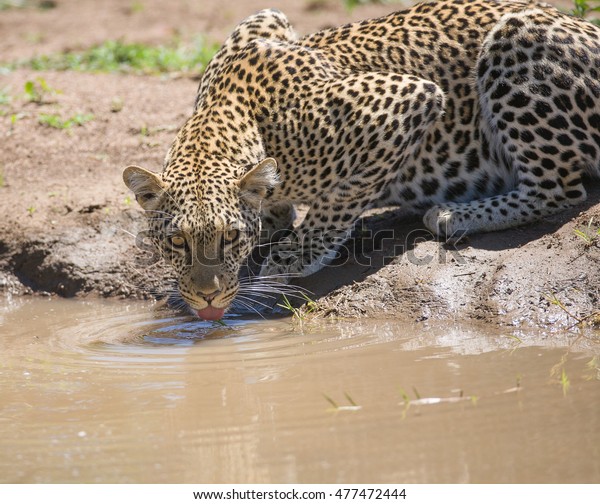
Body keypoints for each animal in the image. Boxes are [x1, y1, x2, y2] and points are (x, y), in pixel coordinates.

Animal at [123, 0, 600, 320]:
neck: (236, 109)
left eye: (230, 237)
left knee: (559, 188)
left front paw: (293, 254)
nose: (207, 297)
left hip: (518, 40)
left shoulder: (406, 101)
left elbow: (342, 198)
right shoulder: (266, 17)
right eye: (177, 242)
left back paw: (453, 214)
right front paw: (274, 222)